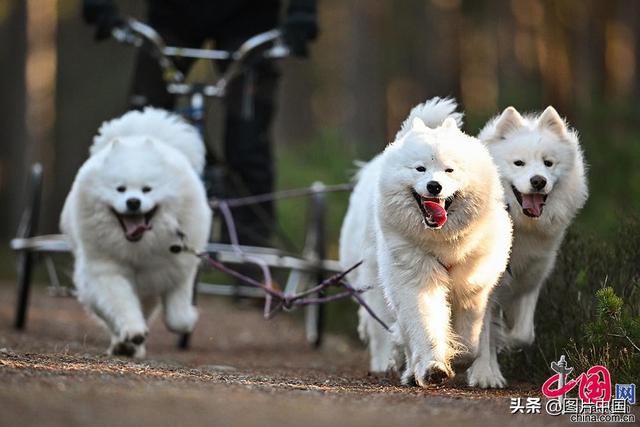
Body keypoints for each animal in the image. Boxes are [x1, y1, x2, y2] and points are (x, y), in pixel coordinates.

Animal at [60, 107, 211, 358]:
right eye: (120, 189)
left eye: (147, 189)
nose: (133, 202)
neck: (140, 246)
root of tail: (139, 133)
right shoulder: (107, 271)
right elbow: (121, 304)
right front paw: (132, 332)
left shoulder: (178, 268)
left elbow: (177, 317)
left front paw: (189, 318)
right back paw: (124, 345)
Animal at [338, 98, 512, 388]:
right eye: (420, 168)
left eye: (449, 170)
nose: (434, 186)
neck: (444, 242)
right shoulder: (417, 280)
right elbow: (425, 325)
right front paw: (434, 367)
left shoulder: (473, 284)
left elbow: (471, 339)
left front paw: (461, 357)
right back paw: (408, 370)